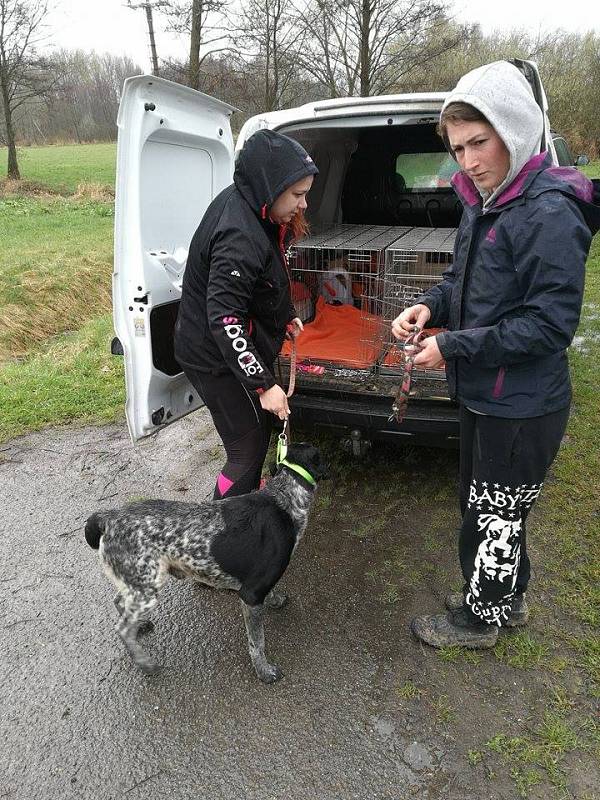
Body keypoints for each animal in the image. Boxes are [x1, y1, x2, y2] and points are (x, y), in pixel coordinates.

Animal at [84, 440, 326, 684]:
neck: (285, 497)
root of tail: (107, 518)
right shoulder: (251, 594)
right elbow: (257, 643)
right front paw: (264, 671)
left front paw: (275, 599)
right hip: (147, 588)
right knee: (122, 628)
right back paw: (144, 662)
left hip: (138, 581)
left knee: (119, 602)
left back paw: (139, 626)